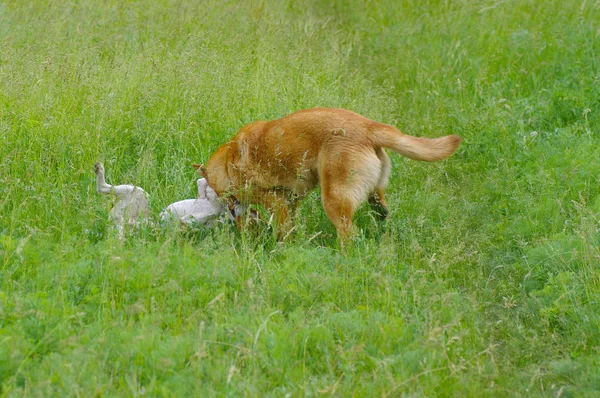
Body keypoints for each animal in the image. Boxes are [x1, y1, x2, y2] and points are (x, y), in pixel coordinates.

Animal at [196, 107, 460, 243]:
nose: (232, 213)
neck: (230, 161)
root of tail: (369, 126)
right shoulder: (291, 202)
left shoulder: (276, 203)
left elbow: (282, 234)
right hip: (374, 197)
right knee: (382, 215)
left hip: (334, 200)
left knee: (349, 235)